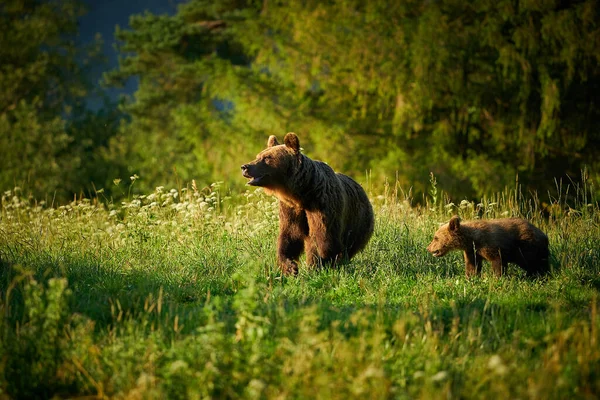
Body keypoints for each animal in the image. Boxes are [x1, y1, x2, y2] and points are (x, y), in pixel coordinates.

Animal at [240, 132, 372, 276]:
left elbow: (322, 237)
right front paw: (290, 267)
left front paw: (317, 265)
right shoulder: (291, 209)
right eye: (258, 156)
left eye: (267, 158)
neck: (302, 194)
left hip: (357, 222)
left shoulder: (321, 204)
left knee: (347, 247)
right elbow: (289, 236)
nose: (245, 167)